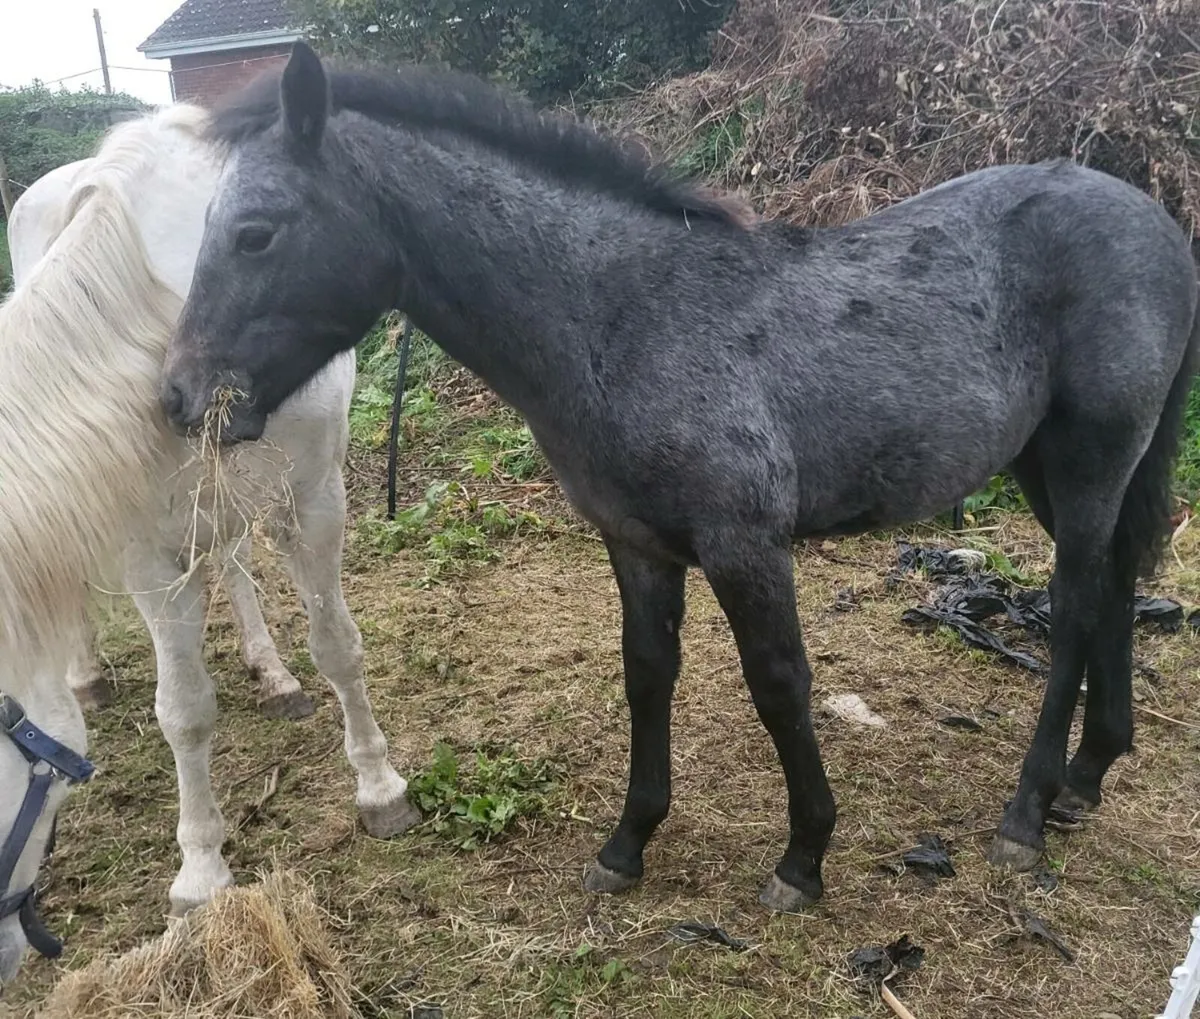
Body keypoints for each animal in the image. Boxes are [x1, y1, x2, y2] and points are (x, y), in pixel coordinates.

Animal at [0, 102, 417, 982]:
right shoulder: (148, 551)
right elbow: (184, 710)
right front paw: (200, 872)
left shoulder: (313, 496)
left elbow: (339, 646)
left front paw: (379, 786)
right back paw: (87, 672)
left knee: (236, 561)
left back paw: (273, 671)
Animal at [160, 43, 1199, 915]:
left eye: (254, 233)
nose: (179, 397)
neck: (625, 316)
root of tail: (1157, 225)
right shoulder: (637, 545)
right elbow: (647, 675)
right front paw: (627, 844)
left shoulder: (745, 544)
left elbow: (779, 683)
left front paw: (804, 857)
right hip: (1048, 466)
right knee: (1113, 585)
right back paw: (1088, 777)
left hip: (1092, 458)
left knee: (1075, 604)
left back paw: (1026, 813)